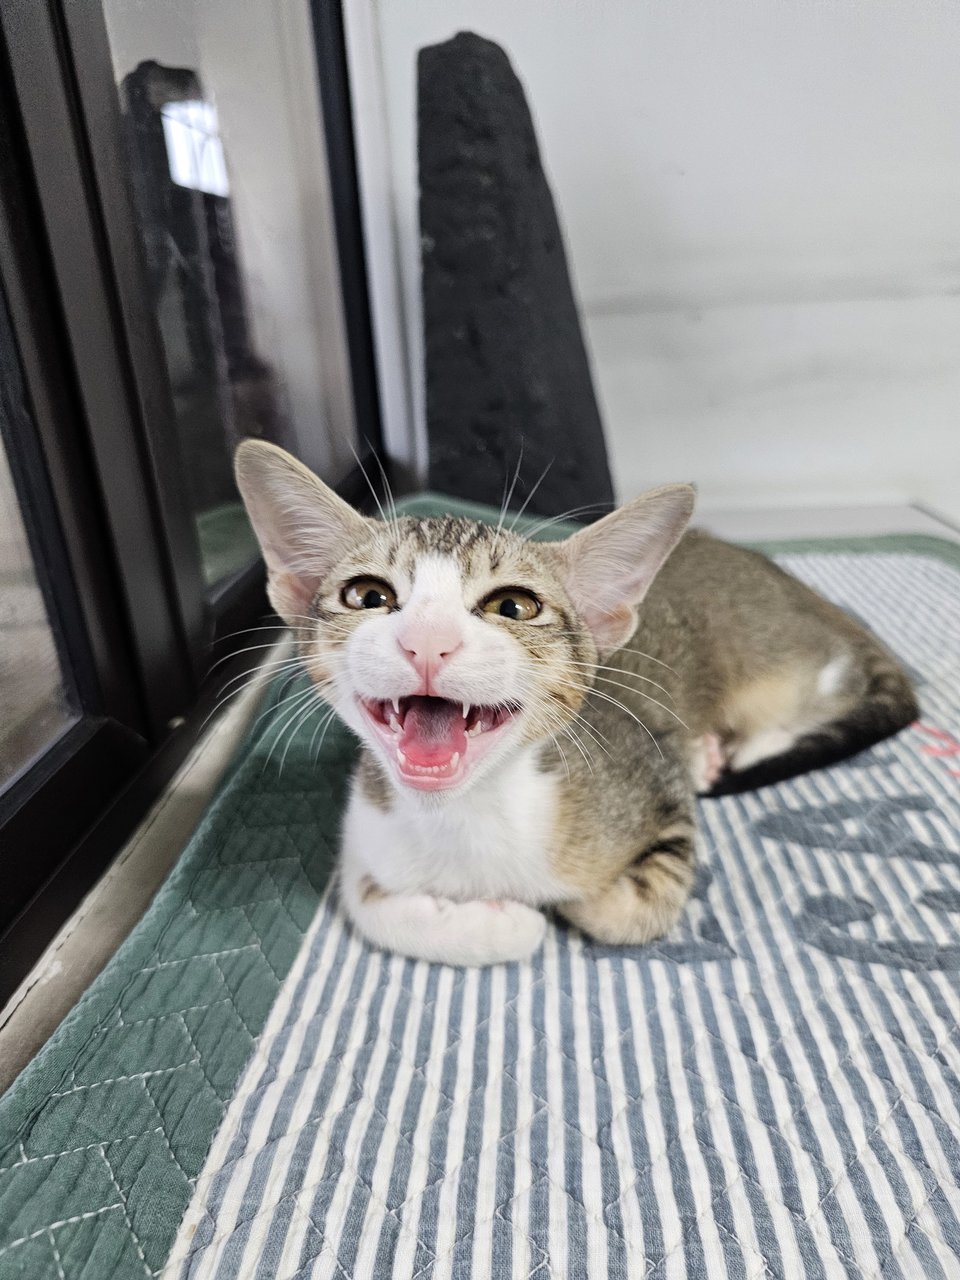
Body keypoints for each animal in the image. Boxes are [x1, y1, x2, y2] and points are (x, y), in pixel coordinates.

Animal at [232, 445, 916, 962]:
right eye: (368, 596)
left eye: (513, 606)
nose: (427, 640)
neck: (465, 815)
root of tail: (791, 581)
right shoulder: (366, 831)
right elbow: (367, 904)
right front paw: (498, 923)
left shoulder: (660, 796)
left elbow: (623, 911)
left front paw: (551, 908)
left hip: (780, 667)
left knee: (824, 689)